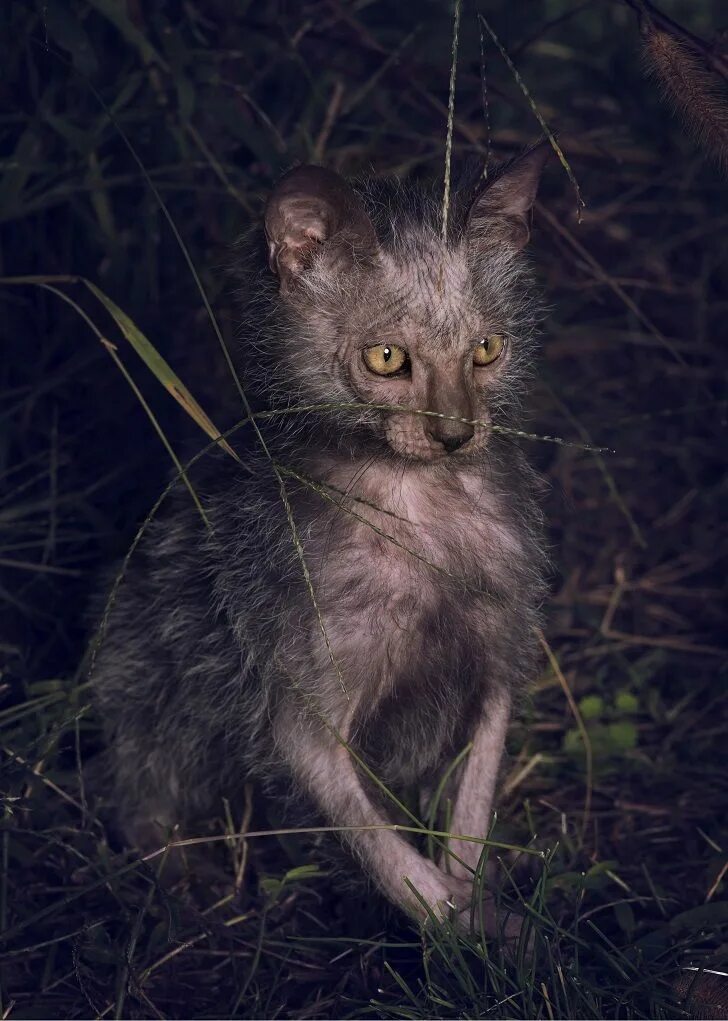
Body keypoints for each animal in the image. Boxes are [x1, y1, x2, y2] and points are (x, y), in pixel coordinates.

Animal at [93, 148, 551, 935]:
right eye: (387, 358)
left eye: (488, 350)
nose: (455, 433)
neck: (418, 508)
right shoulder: (294, 699)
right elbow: (389, 857)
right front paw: (463, 930)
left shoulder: (498, 659)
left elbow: (470, 813)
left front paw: (493, 921)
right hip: (138, 682)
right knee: (141, 794)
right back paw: (181, 880)